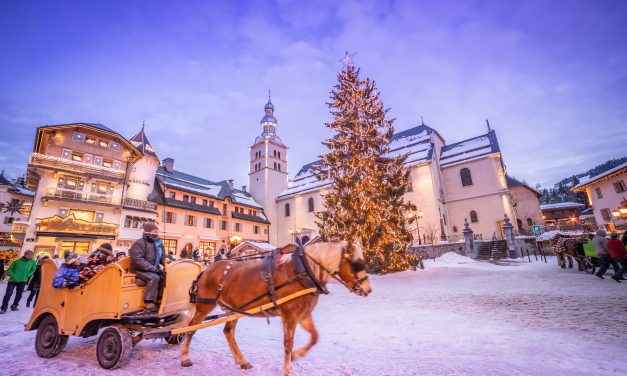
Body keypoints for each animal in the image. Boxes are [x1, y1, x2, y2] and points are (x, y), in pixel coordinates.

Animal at [179, 242, 370, 374]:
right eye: (357, 263)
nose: (368, 290)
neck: (302, 272)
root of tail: (206, 269)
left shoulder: (303, 315)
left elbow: (315, 337)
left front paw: (297, 355)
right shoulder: (290, 316)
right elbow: (288, 344)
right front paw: (287, 369)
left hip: (233, 310)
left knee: (228, 332)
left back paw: (242, 361)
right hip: (204, 306)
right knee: (191, 328)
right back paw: (185, 357)